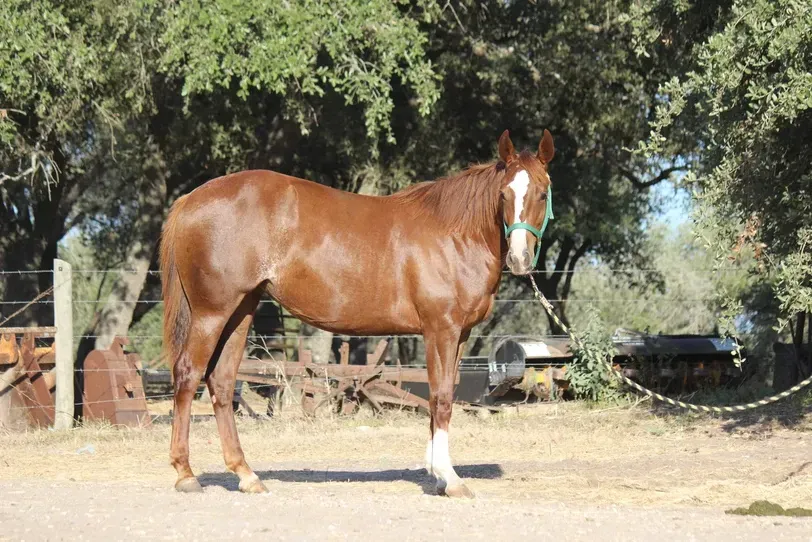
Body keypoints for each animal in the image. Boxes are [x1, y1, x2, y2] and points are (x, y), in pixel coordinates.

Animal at [159, 129, 556, 498]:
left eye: (541, 192)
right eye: (504, 194)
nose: (520, 259)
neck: (454, 233)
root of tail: (191, 199)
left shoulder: (460, 334)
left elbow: (442, 395)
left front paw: (437, 475)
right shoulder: (440, 330)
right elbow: (441, 398)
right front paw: (451, 479)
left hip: (241, 311)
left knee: (222, 382)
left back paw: (246, 475)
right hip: (211, 313)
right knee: (188, 376)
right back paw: (185, 475)